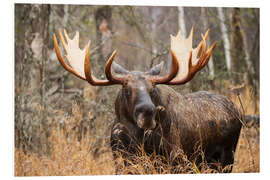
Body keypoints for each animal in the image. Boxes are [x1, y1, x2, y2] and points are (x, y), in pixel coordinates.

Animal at [52, 28, 243, 173]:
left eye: (153, 89)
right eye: (127, 89)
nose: (148, 113)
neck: (136, 138)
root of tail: (237, 110)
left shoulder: (175, 158)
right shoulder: (120, 159)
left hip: (227, 156)